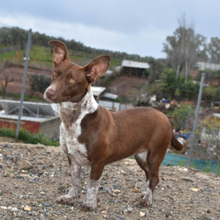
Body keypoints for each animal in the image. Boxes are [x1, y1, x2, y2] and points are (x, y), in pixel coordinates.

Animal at [43, 40, 183, 211]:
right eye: (55, 73)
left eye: (72, 80)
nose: (49, 93)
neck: (74, 119)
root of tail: (165, 117)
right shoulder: (73, 159)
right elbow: (75, 182)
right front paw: (71, 198)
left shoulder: (98, 162)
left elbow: (92, 185)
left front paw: (90, 204)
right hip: (141, 157)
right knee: (149, 177)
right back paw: (145, 194)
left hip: (155, 155)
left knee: (154, 177)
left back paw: (147, 200)